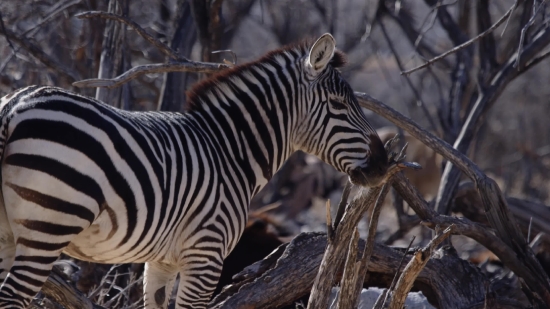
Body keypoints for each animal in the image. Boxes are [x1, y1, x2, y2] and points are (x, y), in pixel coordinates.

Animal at [0, 32, 388, 306]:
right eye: (338, 105)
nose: (383, 164)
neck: (230, 151)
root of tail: (14, 106)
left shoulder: (161, 261)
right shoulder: (206, 255)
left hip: (10, 234)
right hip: (49, 224)